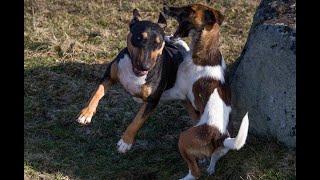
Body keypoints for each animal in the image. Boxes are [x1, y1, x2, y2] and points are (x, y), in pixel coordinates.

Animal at [76, 9, 189, 153]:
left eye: (158, 42)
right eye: (139, 38)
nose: (145, 66)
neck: (135, 72)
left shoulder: (152, 101)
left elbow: (137, 121)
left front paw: (125, 142)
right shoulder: (109, 76)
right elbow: (96, 93)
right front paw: (86, 114)